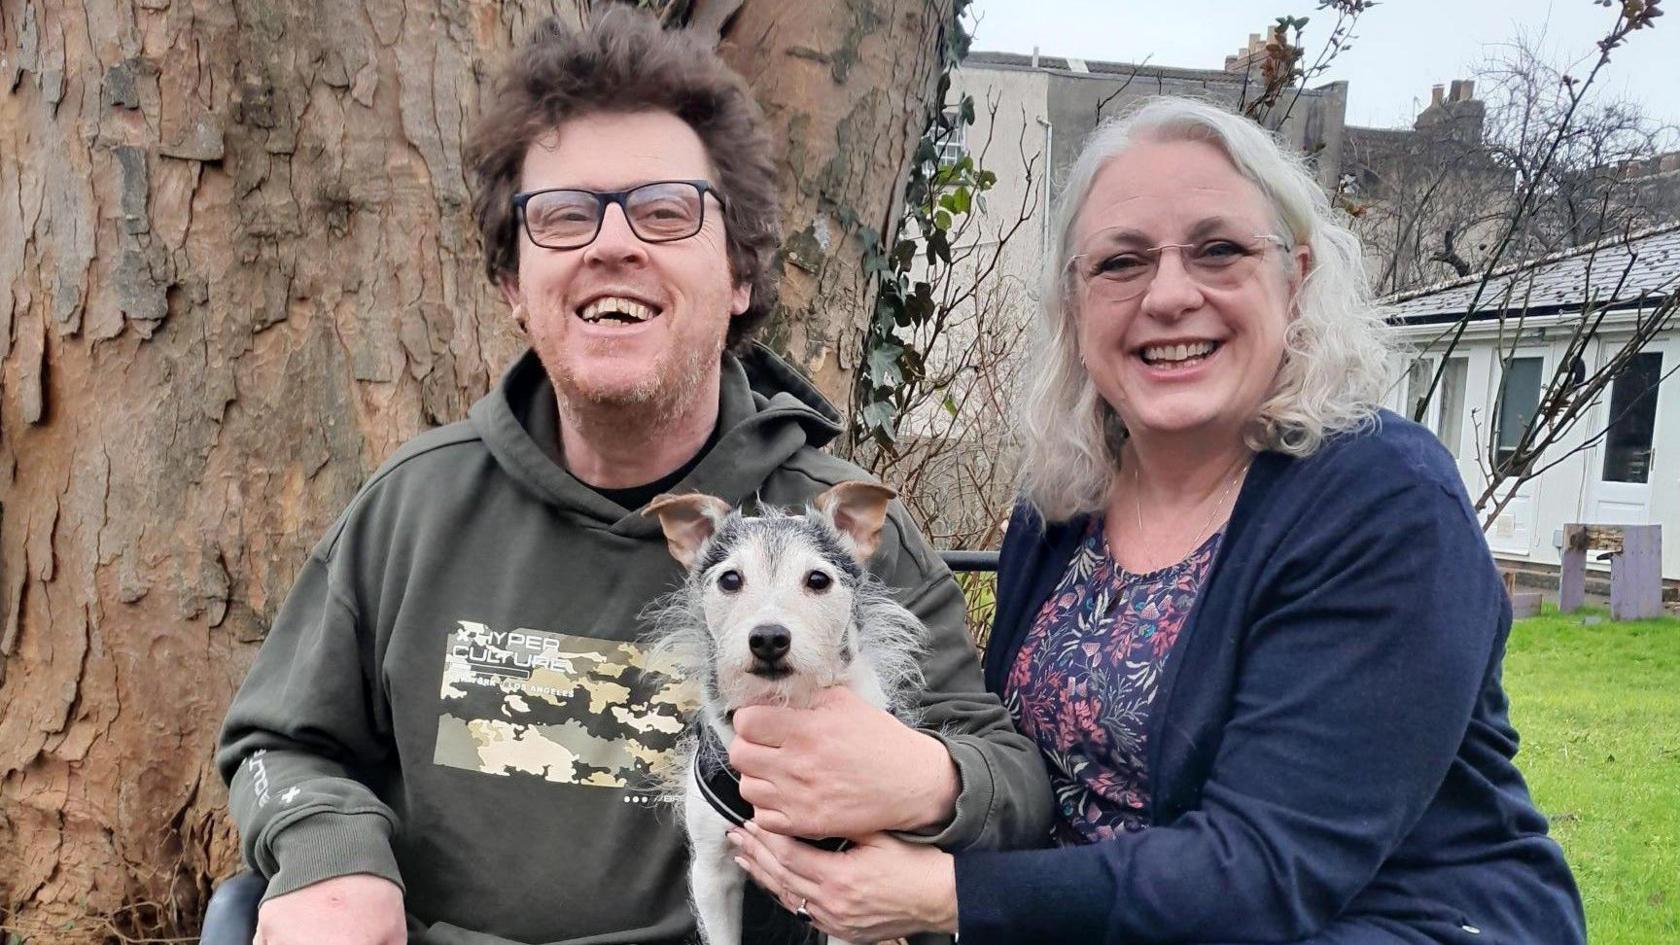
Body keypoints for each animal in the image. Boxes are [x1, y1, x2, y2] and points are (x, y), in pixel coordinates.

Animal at [645, 477, 934, 941]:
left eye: (818, 579)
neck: (783, 706)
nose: (768, 638)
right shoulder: (713, 873)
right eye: (730, 579)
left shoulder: (847, 890)